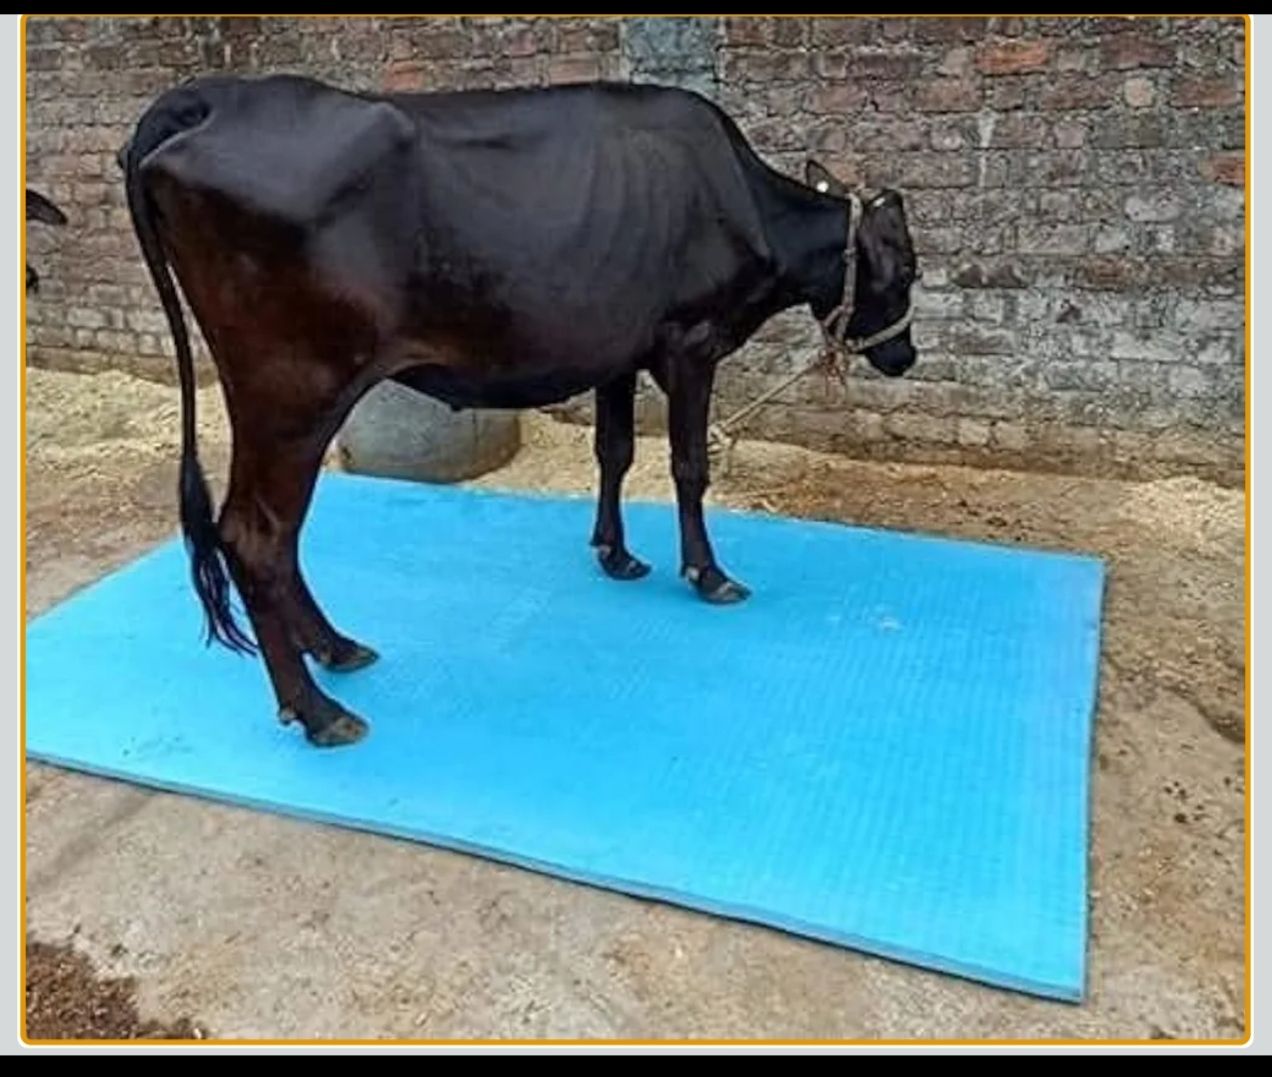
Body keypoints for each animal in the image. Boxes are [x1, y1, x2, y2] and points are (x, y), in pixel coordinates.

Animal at [122, 74, 919, 748]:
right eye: (908, 268)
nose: (905, 357)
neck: (742, 205)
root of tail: (213, 97)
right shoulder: (692, 342)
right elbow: (688, 466)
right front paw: (707, 573)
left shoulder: (618, 348)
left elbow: (614, 451)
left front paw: (616, 553)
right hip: (295, 392)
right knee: (258, 537)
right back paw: (320, 711)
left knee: (270, 540)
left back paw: (338, 650)